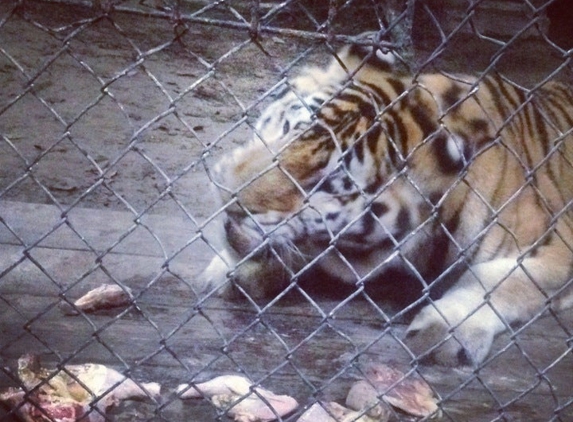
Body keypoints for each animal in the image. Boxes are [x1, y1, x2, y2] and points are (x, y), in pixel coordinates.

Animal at [200, 38, 572, 366]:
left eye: (327, 185)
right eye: (287, 127)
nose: (227, 195)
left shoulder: (559, 245)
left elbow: (498, 280)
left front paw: (445, 329)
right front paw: (233, 269)